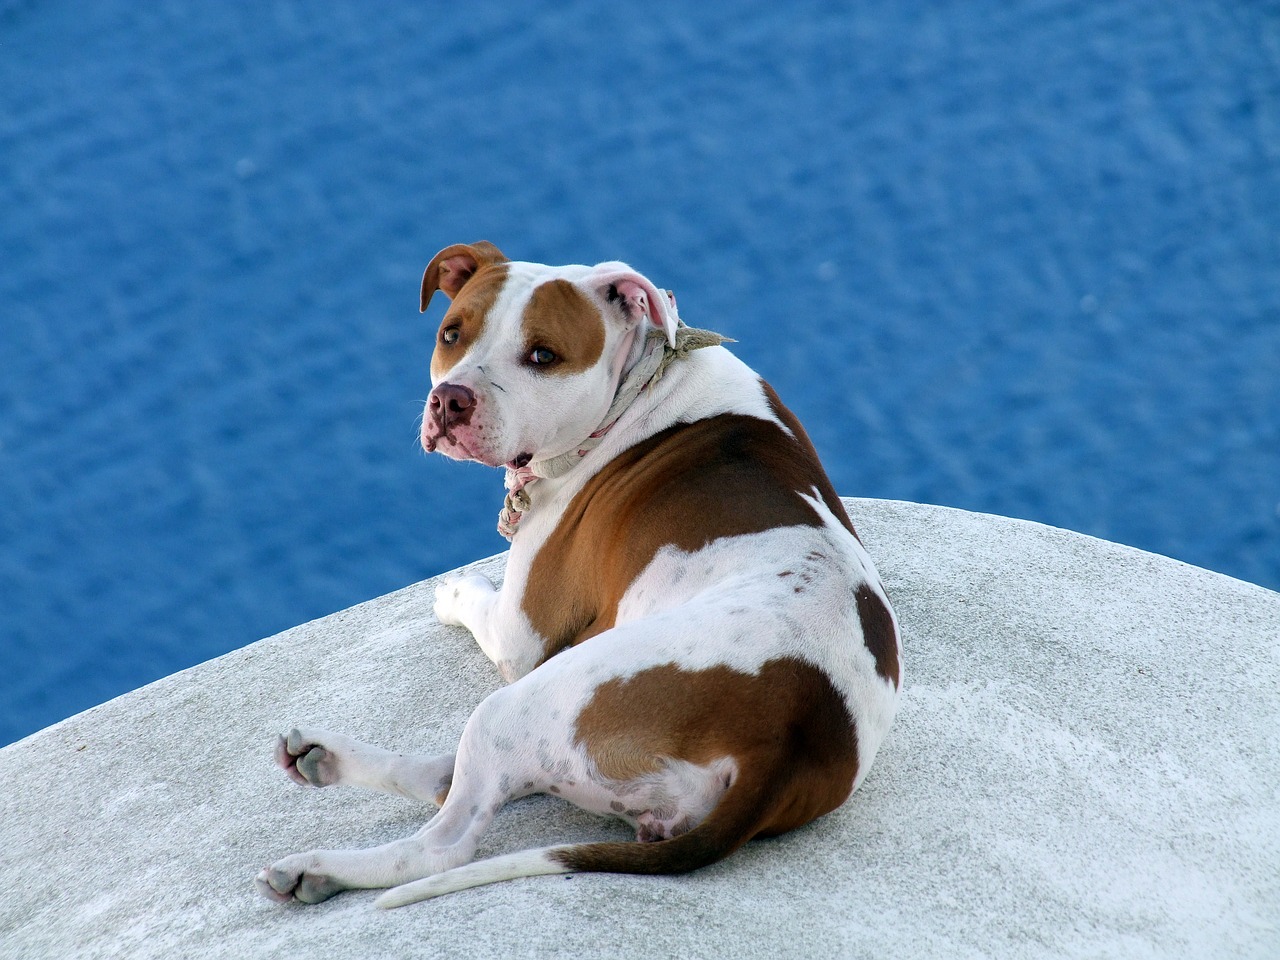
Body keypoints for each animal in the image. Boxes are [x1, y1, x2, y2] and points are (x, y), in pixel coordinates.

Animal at [254, 240, 906, 911]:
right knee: (451, 776)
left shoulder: (521, 635)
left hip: (526, 702)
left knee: (443, 841)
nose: (451, 400)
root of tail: (785, 742)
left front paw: (457, 590)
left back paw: (319, 867)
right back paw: (322, 759)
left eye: (543, 356)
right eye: (451, 334)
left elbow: (484, 607)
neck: (641, 386)